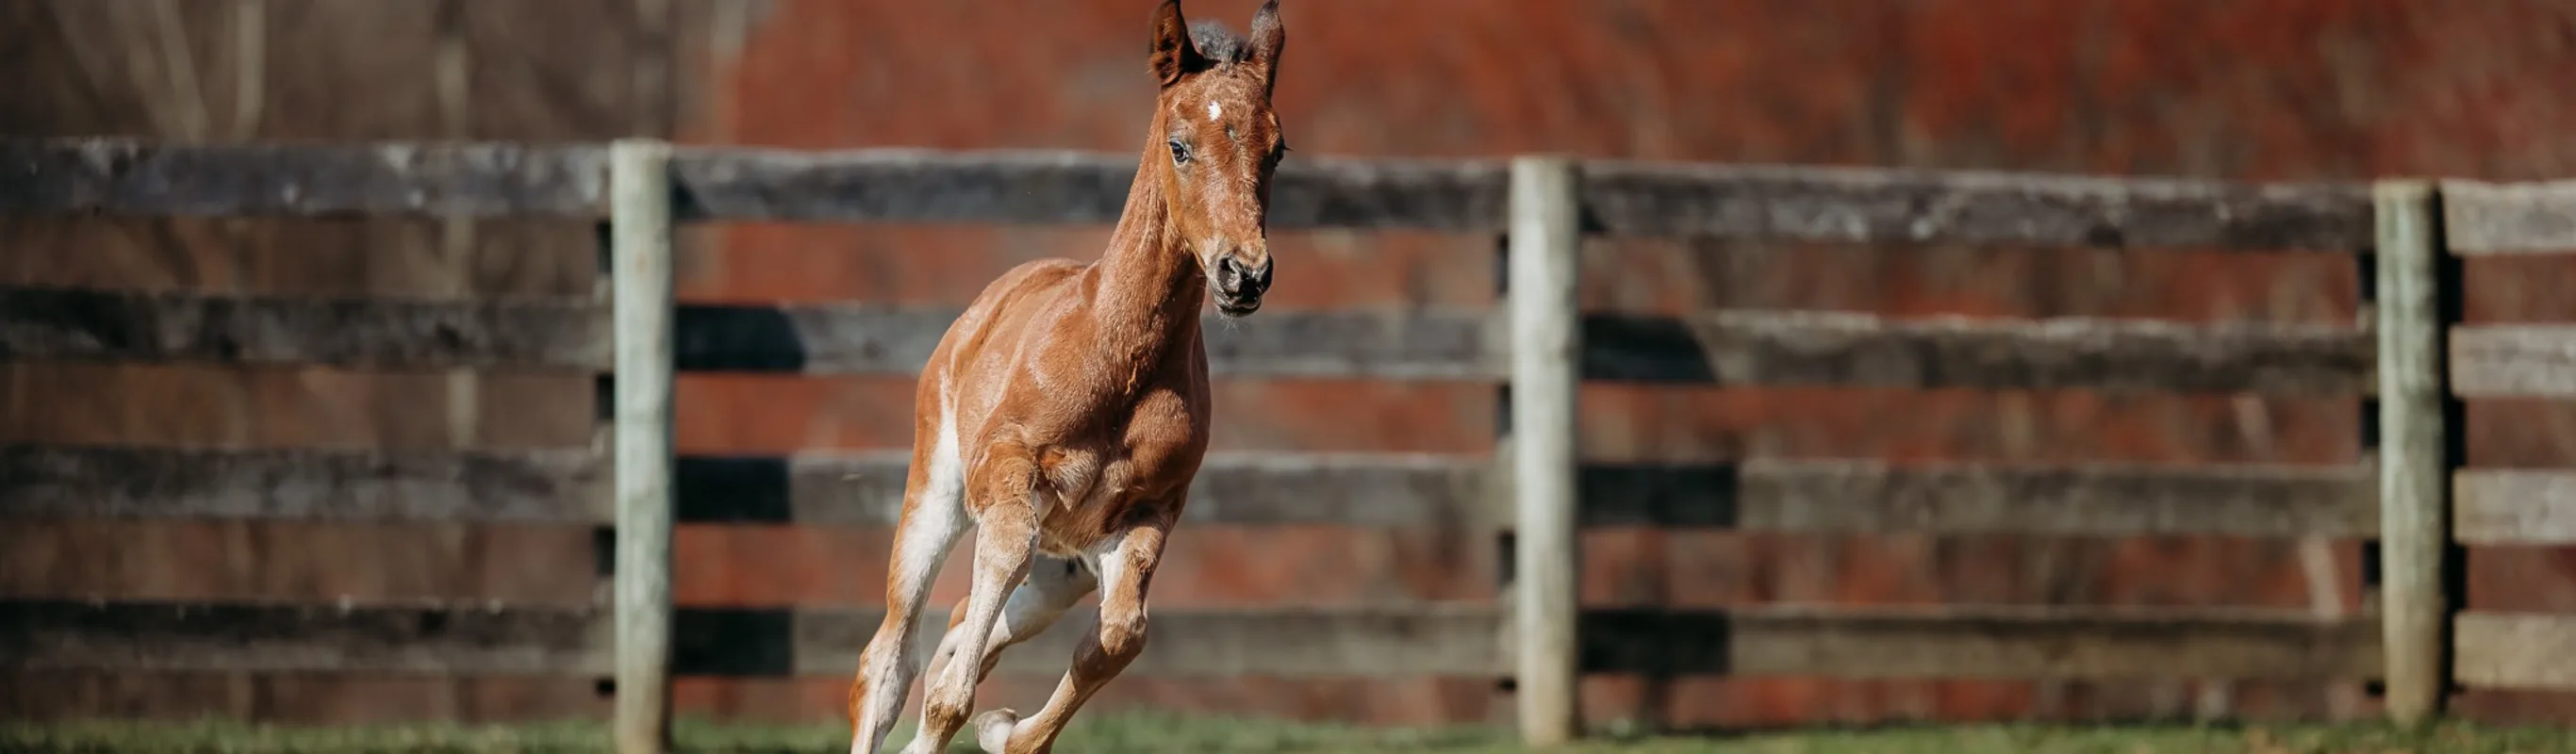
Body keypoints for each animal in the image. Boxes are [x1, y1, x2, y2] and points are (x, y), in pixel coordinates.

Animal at [844, 1, 1288, 752]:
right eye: (1180, 145)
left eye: (1276, 150)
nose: (1243, 274)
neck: (1121, 365)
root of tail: (986, 305)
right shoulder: (1006, 479)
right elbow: (956, 670)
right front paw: (973, 717)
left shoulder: (1146, 518)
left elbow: (1119, 637)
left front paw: (1005, 731)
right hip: (935, 495)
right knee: (889, 660)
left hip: (1065, 571)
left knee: (967, 628)